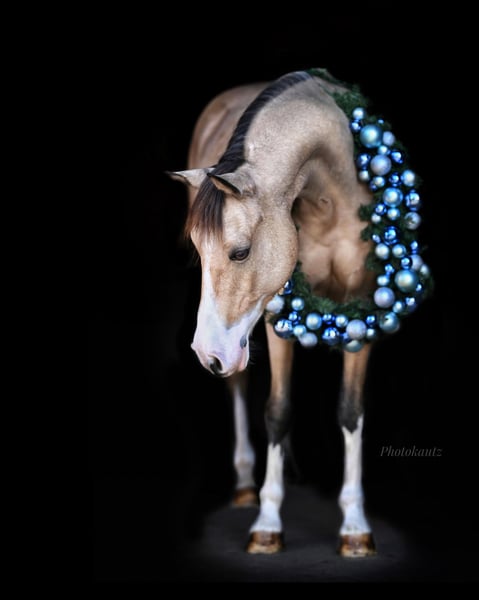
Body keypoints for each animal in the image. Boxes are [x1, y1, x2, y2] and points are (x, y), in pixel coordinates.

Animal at [168, 68, 432, 557]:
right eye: (198, 251)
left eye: (240, 252)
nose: (206, 353)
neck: (331, 193)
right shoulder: (275, 316)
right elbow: (277, 409)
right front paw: (267, 522)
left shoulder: (362, 310)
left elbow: (350, 411)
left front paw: (355, 527)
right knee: (239, 385)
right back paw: (245, 484)